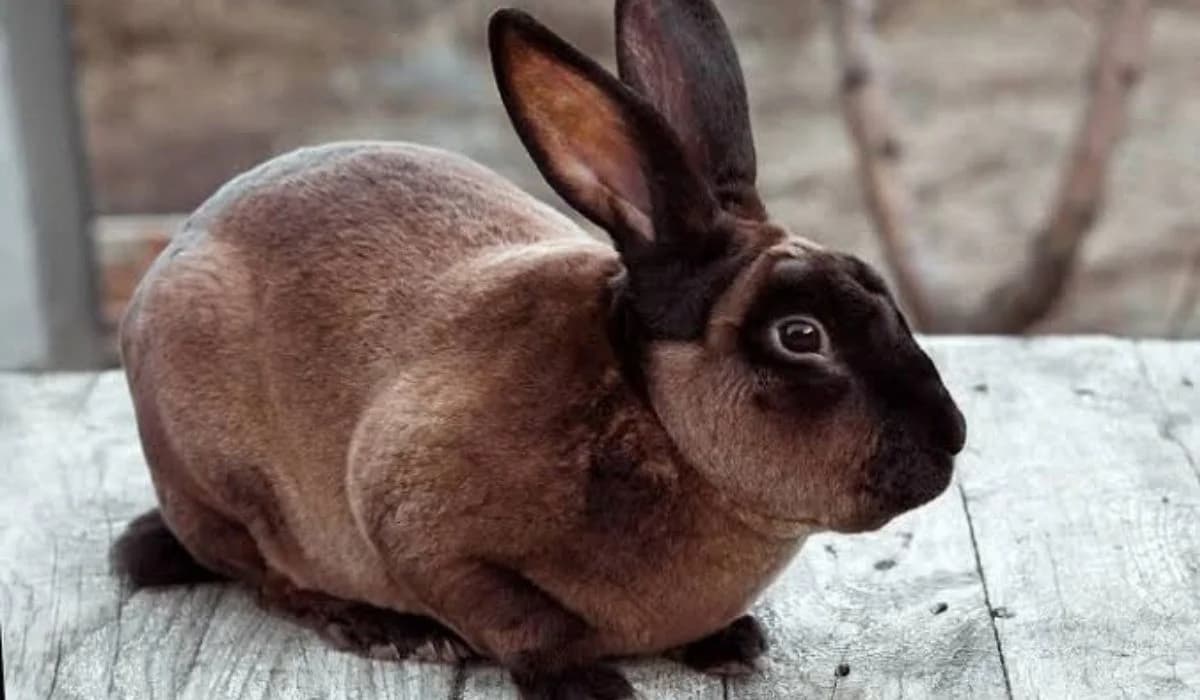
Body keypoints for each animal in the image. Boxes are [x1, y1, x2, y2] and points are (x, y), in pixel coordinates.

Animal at [113, 0, 967, 698]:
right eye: (800, 335)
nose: (952, 436)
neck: (653, 416)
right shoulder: (418, 530)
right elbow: (516, 619)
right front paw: (588, 684)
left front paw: (727, 643)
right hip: (220, 481)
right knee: (262, 573)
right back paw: (385, 629)